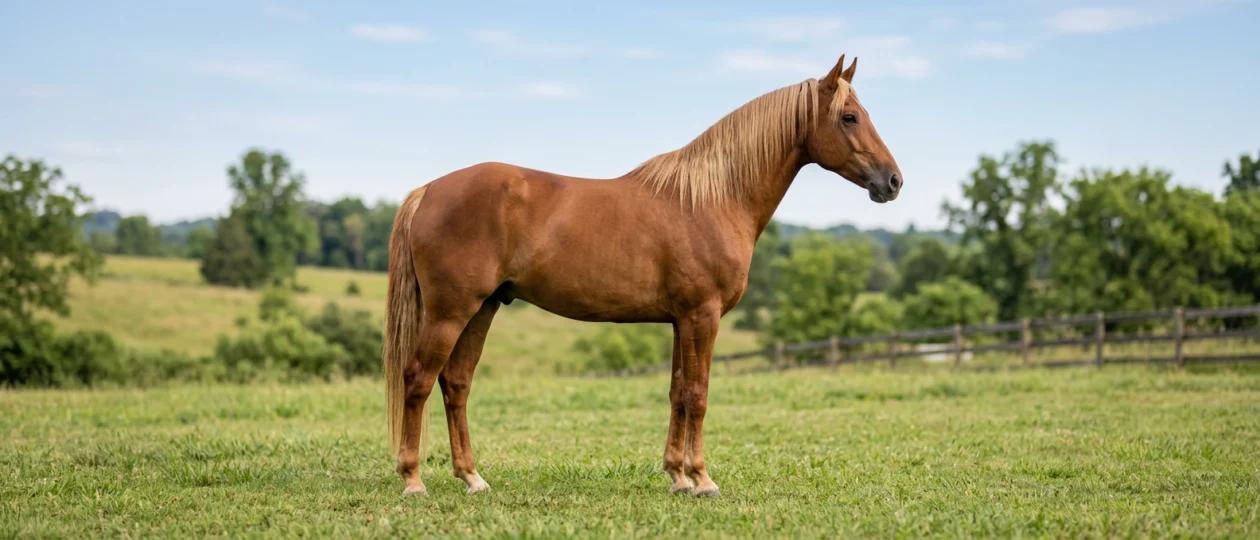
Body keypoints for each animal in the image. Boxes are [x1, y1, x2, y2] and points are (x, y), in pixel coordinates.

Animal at [382, 53, 904, 497]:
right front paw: (703, 479)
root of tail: (429, 191)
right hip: (451, 312)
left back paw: (472, 478)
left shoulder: (680, 320)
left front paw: (677, 476)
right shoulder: (702, 315)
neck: (713, 198)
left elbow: (676, 391)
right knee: (419, 379)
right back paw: (413, 480)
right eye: (849, 117)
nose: (893, 181)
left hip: (483, 308)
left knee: (456, 384)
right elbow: (697, 393)